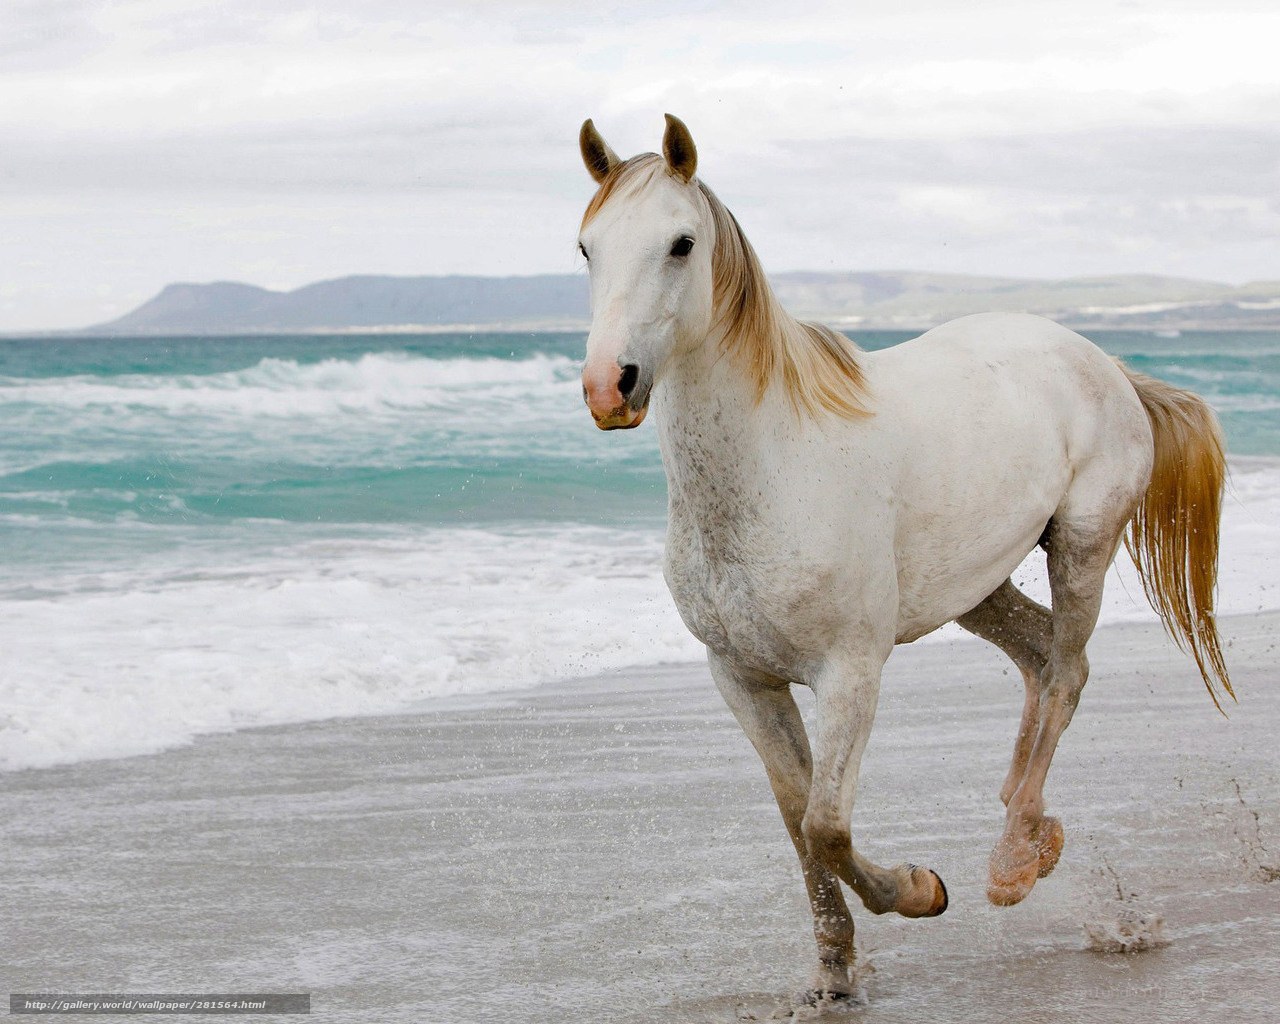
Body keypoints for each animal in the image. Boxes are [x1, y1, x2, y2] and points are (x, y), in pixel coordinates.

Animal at [574, 113, 1231, 1003]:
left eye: (680, 243)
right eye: (587, 247)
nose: (610, 386)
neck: (774, 464)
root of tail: (1102, 361)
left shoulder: (850, 670)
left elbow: (826, 823)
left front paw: (922, 891)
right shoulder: (742, 677)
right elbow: (797, 821)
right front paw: (833, 972)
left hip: (1082, 547)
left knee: (1066, 671)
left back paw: (1012, 860)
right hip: (977, 585)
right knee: (1041, 658)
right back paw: (1029, 826)